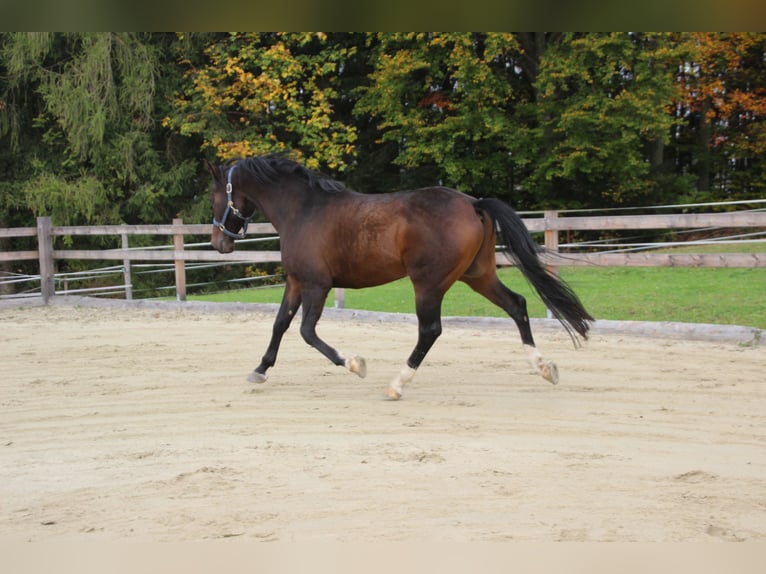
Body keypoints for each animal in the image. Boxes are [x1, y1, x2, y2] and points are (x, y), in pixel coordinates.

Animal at [208, 155, 592, 402]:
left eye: (214, 198)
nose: (219, 243)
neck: (303, 210)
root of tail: (474, 204)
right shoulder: (296, 281)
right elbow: (280, 324)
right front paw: (260, 369)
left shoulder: (317, 284)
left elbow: (306, 332)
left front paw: (355, 364)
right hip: (478, 275)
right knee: (517, 305)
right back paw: (545, 367)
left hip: (428, 284)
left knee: (430, 331)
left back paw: (397, 384)